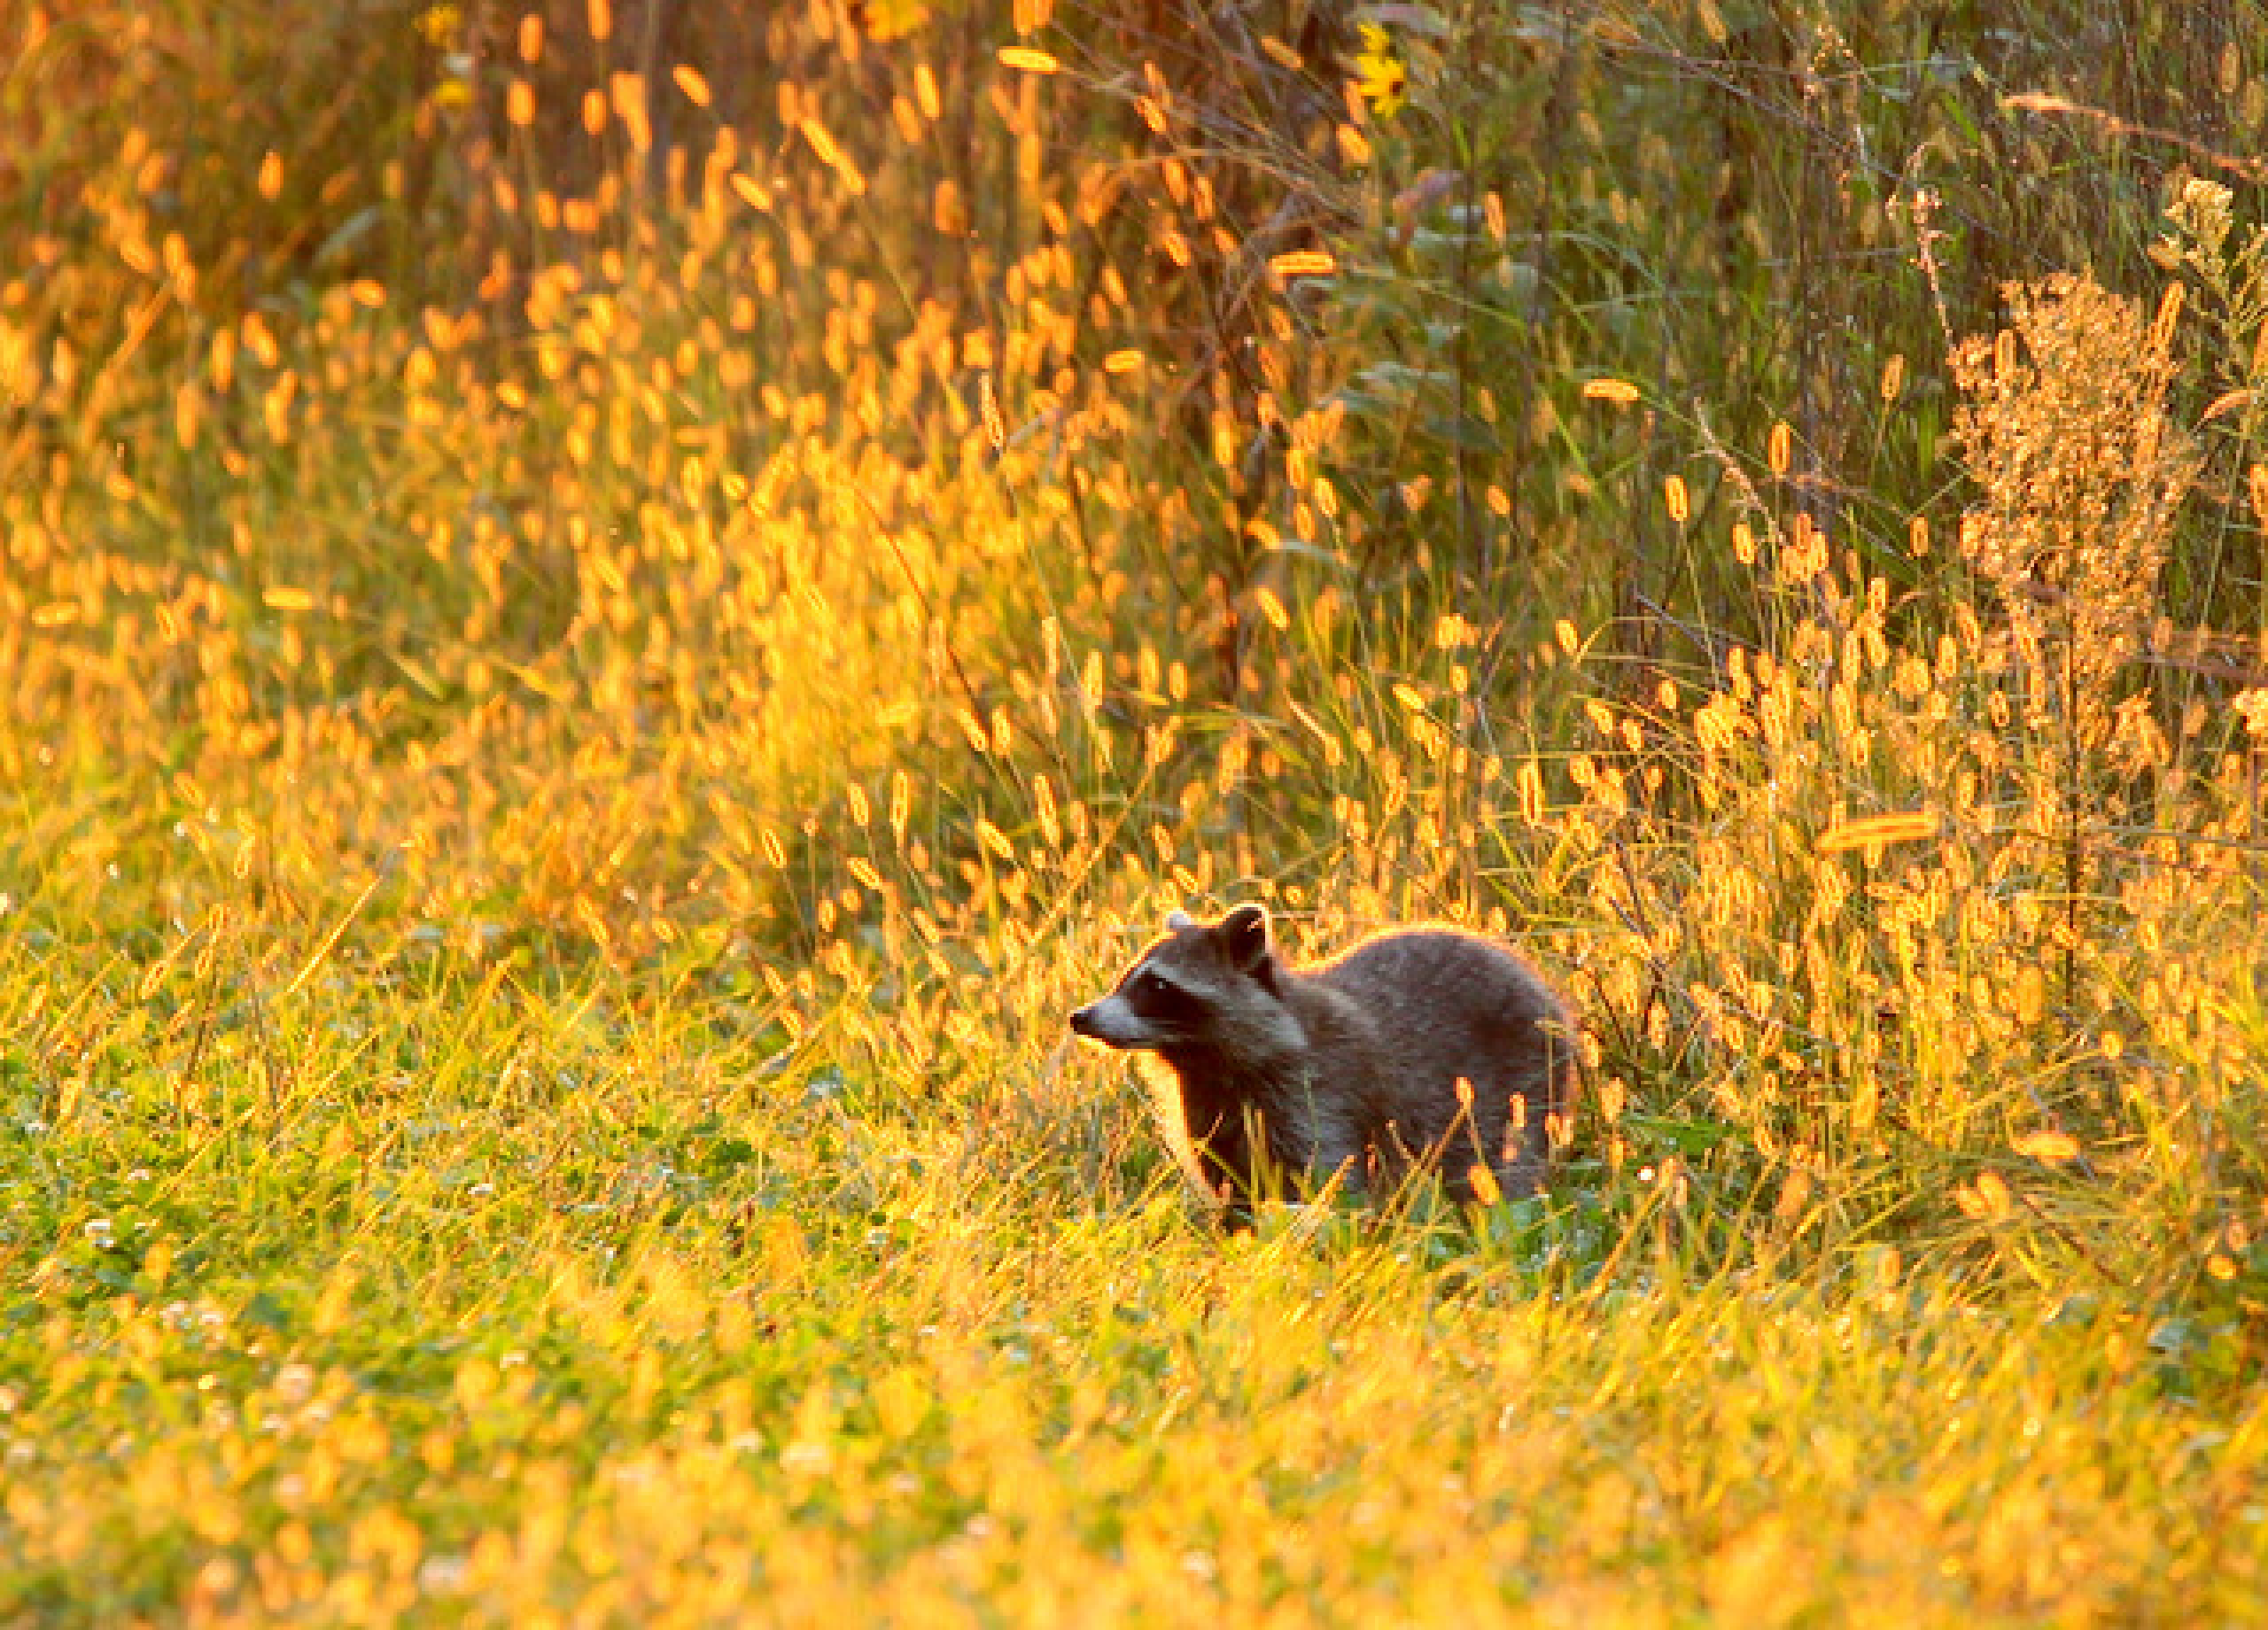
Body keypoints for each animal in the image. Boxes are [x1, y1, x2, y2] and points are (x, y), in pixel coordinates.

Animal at [1070, 904, 1575, 1215]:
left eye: (1157, 986)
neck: (1202, 1062)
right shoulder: (1211, 1111)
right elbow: (1231, 1188)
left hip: (1525, 1080)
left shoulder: (1320, 1091)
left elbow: (1326, 1182)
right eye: (1125, 978)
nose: (1080, 1017)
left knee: (1503, 1164)